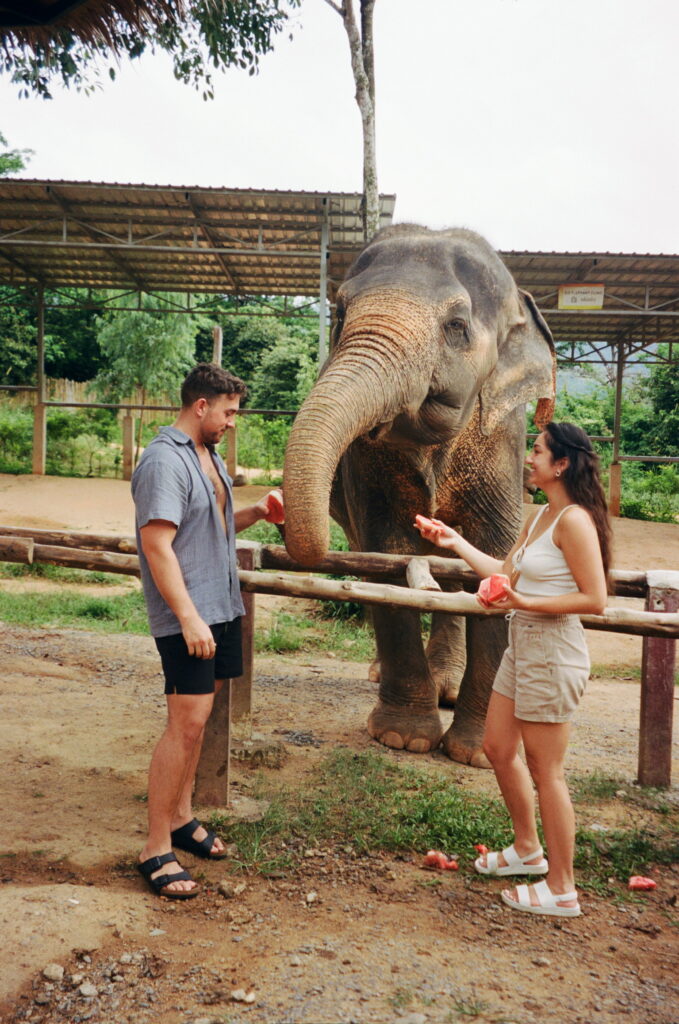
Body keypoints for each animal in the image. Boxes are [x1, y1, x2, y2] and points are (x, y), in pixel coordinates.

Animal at [284, 226, 557, 770]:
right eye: (340, 314)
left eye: (456, 326)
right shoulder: (368, 466)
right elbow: (389, 556)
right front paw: (402, 739)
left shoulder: (503, 442)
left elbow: (493, 557)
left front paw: (479, 754)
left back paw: (445, 686)